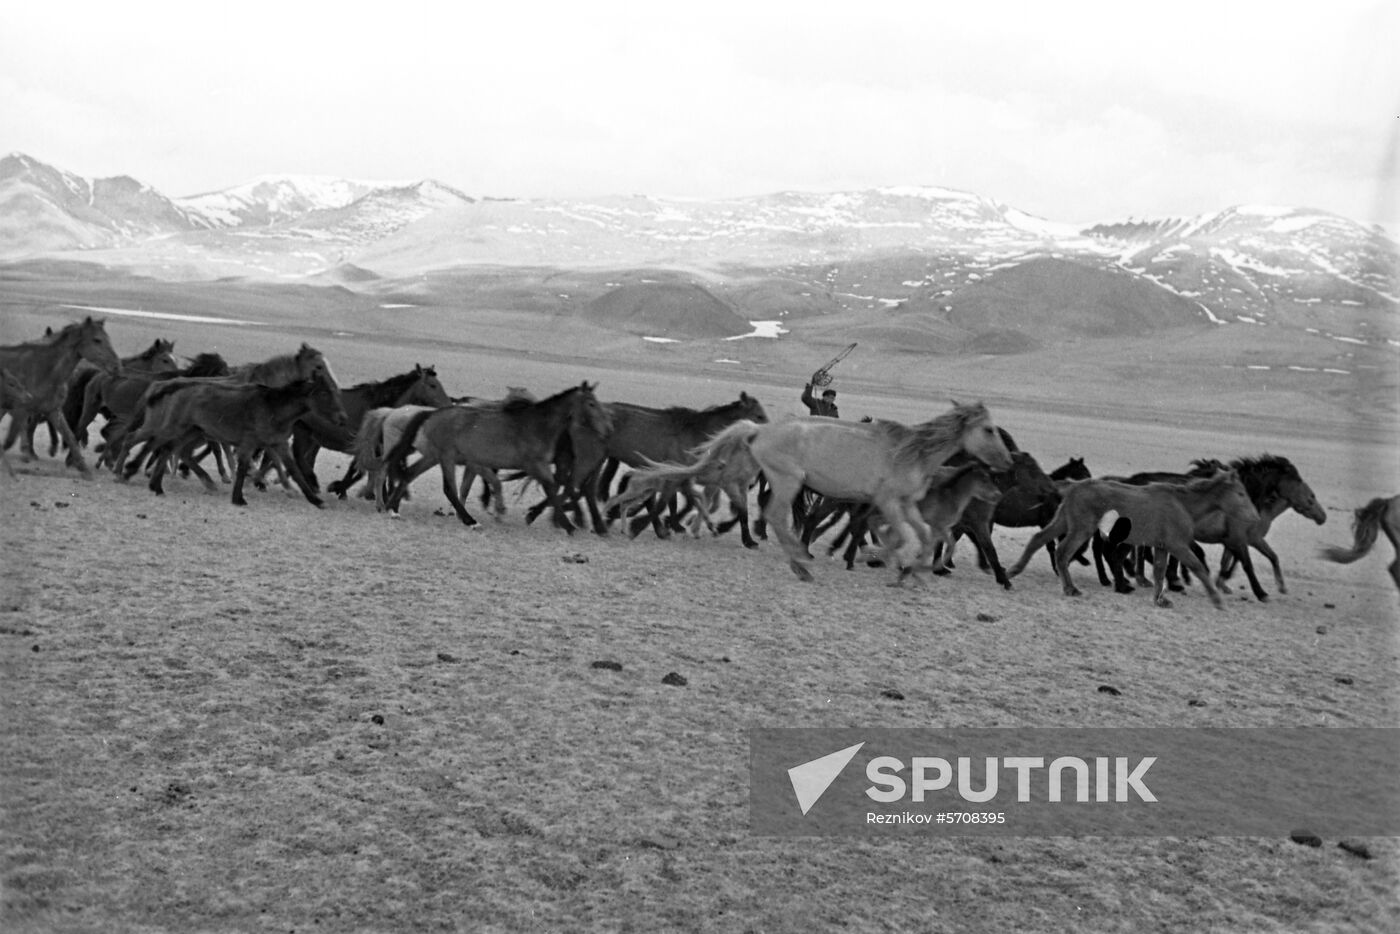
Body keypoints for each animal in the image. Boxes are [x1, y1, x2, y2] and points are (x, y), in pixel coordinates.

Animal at [0, 319, 121, 478]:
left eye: (107, 338)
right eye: (97, 340)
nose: (117, 365)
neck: (47, 371)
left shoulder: (53, 410)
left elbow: (70, 436)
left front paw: (84, 469)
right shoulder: (22, 409)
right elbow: (14, 437)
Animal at [383, 380, 607, 532]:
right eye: (591, 403)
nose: (605, 429)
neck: (537, 426)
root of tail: (431, 414)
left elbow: (552, 487)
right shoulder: (534, 465)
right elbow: (550, 488)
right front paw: (565, 524)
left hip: (433, 456)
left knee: (410, 474)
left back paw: (393, 509)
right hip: (447, 457)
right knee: (448, 489)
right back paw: (471, 521)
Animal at [674, 403, 1013, 579]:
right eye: (988, 429)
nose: (1007, 462)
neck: (913, 453)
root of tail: (759, 430)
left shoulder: (907, 504)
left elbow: (924, 537)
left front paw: (911, 569)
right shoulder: (888, 501)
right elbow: (897, 537)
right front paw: (869, 557)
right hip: (788, 481)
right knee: (774, 516)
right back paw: (800, 563)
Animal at [1008, 470, 1260, 610]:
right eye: (1240, 494)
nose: (1255, 517)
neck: (1184, 504)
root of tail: (1074, 486)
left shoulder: (1162, 546)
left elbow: (1159, 571)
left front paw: (1160, 600)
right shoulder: (1177, 545)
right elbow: (1197, 567)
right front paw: (1217, 601)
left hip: (1064, 520)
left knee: (1038, 539)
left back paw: (1012, 572)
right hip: (1081, 528)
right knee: (1062, 552)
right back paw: (1071, 588)